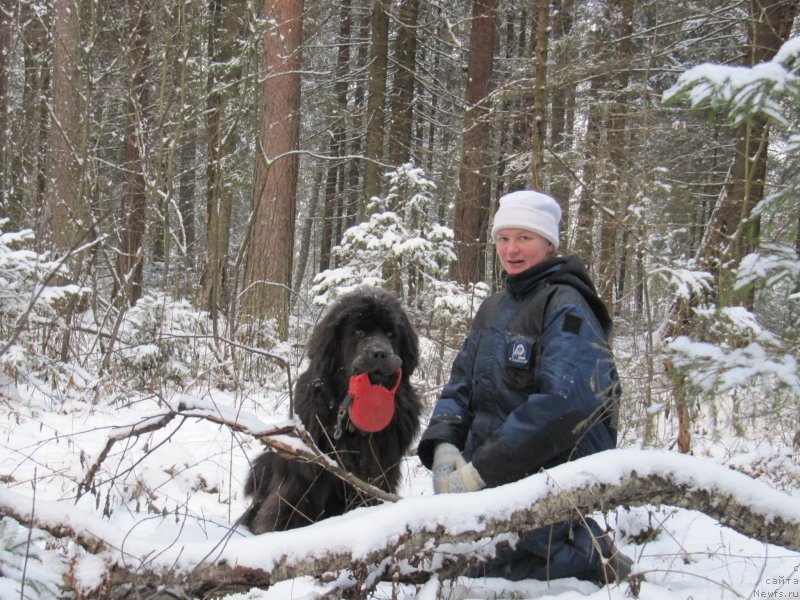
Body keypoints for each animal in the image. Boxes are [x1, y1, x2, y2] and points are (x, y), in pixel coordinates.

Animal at [241, 288, 422, 532]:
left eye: (391, 333)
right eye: (358, 331)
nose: (380, 353)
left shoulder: (379, 475)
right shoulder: (308, 472)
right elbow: (293, 504)